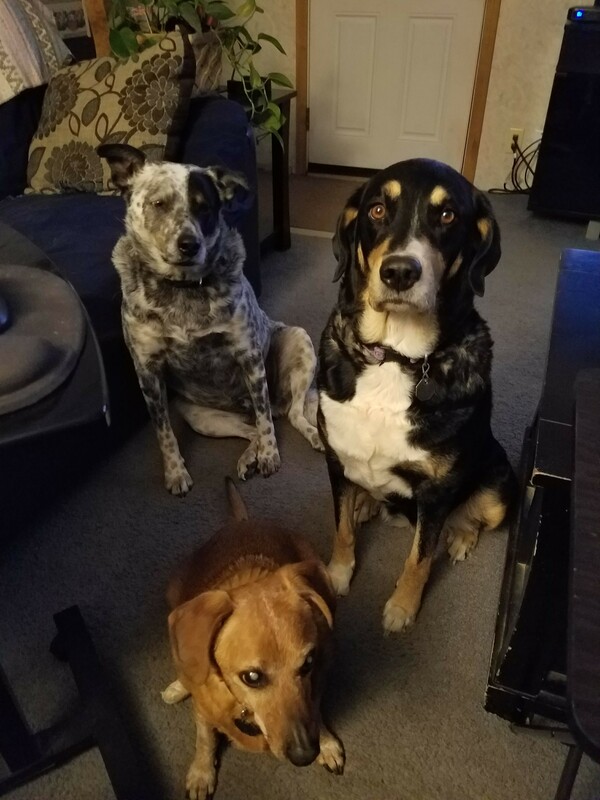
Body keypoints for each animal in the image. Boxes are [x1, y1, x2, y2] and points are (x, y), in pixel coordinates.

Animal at [97, 144, 322, 496]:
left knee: (289, 415)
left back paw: (306, 437)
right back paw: (248, 457)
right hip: (203, 419)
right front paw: (175, 473)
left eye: (205, 207)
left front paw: (270, 456)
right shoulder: (147, 372)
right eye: (159, 204)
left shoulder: (249, 357)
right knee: (251, 429)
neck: (182, 288)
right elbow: (164, 433)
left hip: (298, 343)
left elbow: (266, 421)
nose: (189, 245)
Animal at [162, 477, 344, 799]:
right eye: (252, 677)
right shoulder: (205, 710)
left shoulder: (319, 675)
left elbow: (315, 707)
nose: (305, 755)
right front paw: (202, 772)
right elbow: (205, 738)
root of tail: (243, 523)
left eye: (307, 663)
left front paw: (326, 741)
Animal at [317, 158, 517, 635]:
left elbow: (420, 558)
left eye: (447, 215)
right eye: (376, 210)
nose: (400, 271)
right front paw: (338, 574)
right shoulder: (334, 458)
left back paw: (460, 536)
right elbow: (341, 528)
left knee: (475, 515)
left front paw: (402, 609)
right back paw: (366, 503)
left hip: (501, 486)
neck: (395, 356)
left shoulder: (438, 491)